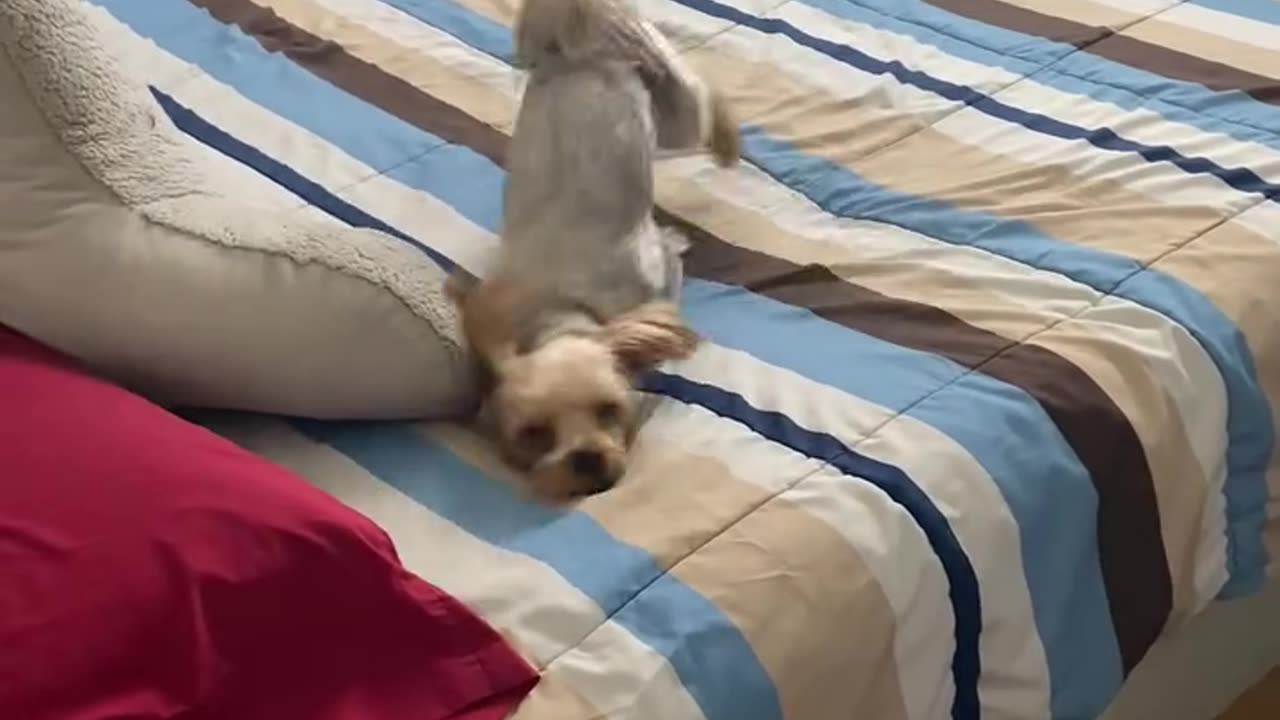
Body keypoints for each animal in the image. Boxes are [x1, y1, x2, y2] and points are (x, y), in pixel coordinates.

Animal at [450, 0, 742, 497]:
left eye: (609, 409)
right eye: (534, 435)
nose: (585, 459)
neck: (553, 310)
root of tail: (571, 52)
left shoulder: (650, 274)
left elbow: (666, 272)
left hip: (665, 100)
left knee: (692, 91)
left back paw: (725, 140)